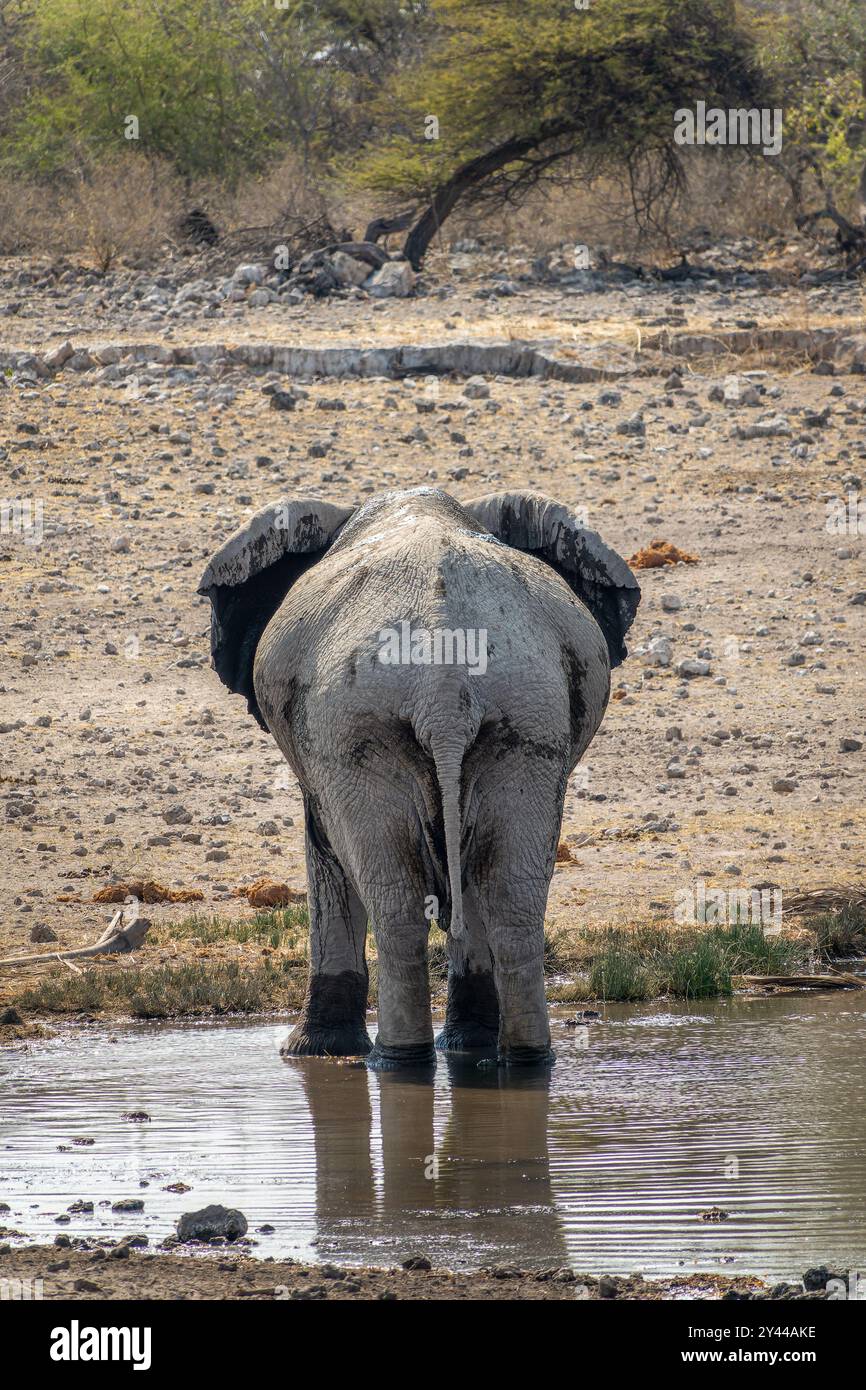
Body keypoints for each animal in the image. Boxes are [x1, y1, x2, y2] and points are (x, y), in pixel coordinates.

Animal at [198, 487, 640, 1068]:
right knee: (511, 899)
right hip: (527, 721)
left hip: (356, 729)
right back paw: (523, 1061)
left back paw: (395, 1060)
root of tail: (444, 687)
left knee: (398, 905)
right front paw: (468, 1045)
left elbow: (325, 855)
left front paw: (311, 1053)